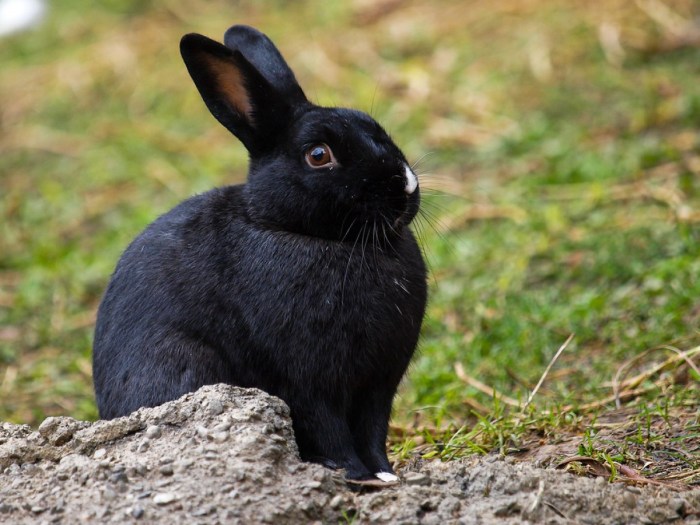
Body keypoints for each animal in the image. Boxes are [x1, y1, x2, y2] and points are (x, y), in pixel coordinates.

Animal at [93, 24, 426, 484]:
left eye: (374, 126)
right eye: (319, 155)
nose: (406, 186)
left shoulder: (378, 387)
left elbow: (372, 431)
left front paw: (385, 474)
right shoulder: (306, 382)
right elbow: (329, 429)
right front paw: (354, 475)